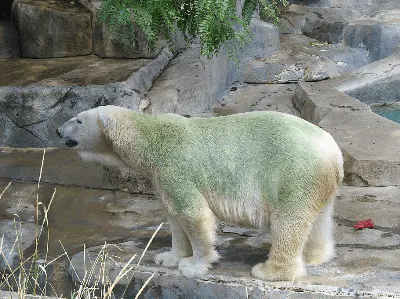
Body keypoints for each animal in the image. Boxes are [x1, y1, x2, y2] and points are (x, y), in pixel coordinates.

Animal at [57, 105, 344, 282]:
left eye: (78, 120)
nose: (58, 130)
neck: (150, 138)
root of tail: (335, 153)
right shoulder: (160, 177)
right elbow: (174, 217)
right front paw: (168, 257)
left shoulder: (175, 167)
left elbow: (193, 214)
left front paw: (194, 265)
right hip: (315, 181)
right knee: (319, 219)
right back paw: (315, 256)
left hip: (291, 173)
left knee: (288, 221)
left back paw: (269, 270)